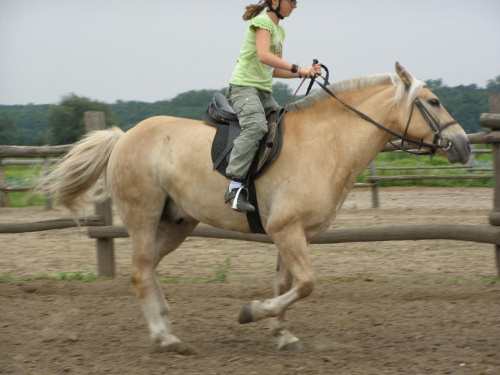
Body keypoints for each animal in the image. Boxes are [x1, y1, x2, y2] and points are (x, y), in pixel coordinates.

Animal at [38, 63, 468, 354]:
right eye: (433, 102)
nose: (463, 146)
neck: (326, 143)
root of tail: (124, 136)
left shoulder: (291, 233)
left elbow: (286, 284)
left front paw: (282, 334)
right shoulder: (287, 230)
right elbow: (305, 284)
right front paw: (252, 313)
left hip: (177, 222)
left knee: (148, 269)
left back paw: (166, 324)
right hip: (143, 215)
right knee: (140, 272)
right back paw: (166, 338)